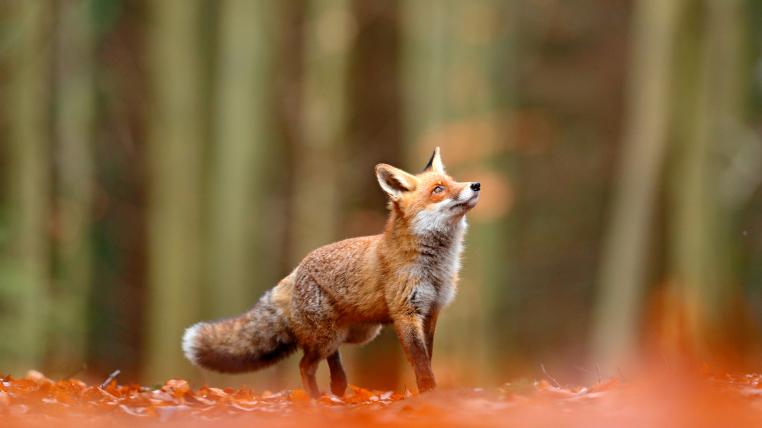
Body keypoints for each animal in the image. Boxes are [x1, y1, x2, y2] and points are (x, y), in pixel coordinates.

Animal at [182, 147, 480, 398]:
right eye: (438, 189)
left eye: (453, 181)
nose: (475, 185)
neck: (435, 266)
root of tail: (296, 270)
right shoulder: (406, 313)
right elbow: (420, 363)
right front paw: (429, 395)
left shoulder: (431, 311)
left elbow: (427, 357)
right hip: (328, 337)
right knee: (305, 365)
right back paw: (315, 400)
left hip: (355, 333)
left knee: (332, 363)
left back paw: (337, 391)